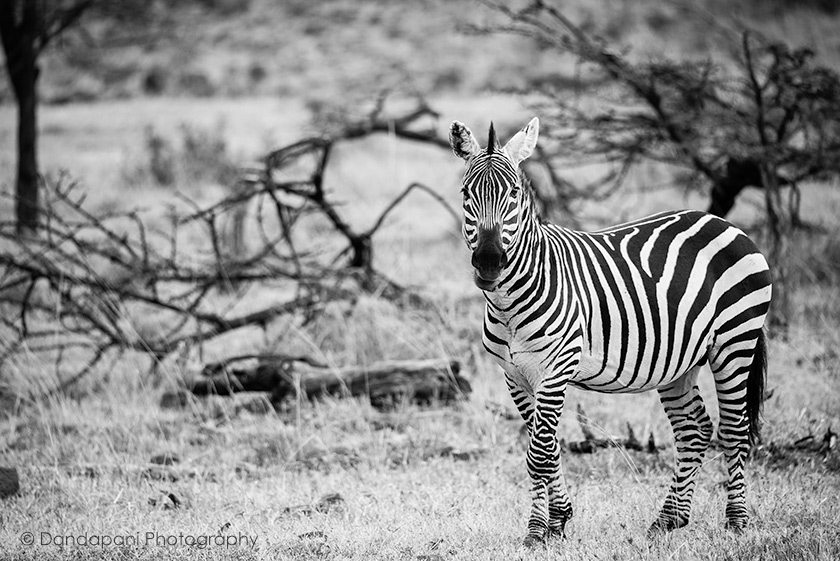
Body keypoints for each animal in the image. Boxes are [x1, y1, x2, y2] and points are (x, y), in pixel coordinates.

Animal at [450, 117, 772, 544]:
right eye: (467, 194)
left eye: (514, 193)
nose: (488, 263)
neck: (509, 302)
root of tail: (725, 223)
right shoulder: (515, 375)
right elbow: (545, 448)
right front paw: (556, 521)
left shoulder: (557, 368)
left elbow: (539, 453)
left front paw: (539, 530)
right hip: (680, 362)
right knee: (695, 430)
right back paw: (668, 519)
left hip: (735, 341)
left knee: (735, 430)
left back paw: (736, 523)